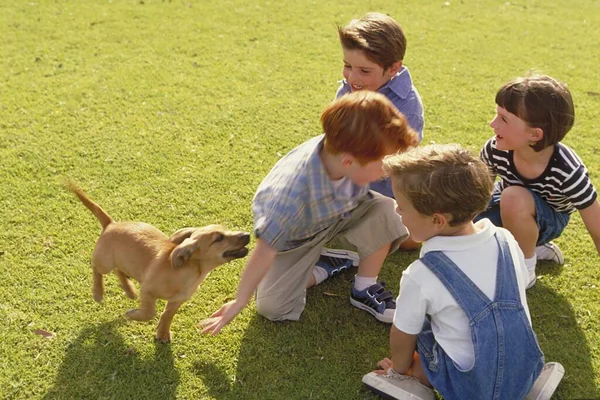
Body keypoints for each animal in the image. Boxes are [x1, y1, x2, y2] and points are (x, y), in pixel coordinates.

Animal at [67, 183, 250, 342]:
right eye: (219, 238)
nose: (247, 234)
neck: (189, 272)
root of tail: (111, 224)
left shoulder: (176, 301)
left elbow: (166, 315)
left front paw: (162, 334)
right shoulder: (148, 291)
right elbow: (150, 313)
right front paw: (133, 314)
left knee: (119, 270)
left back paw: (129, 290)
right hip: (104, 262)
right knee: (96, 268)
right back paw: (98, 292)